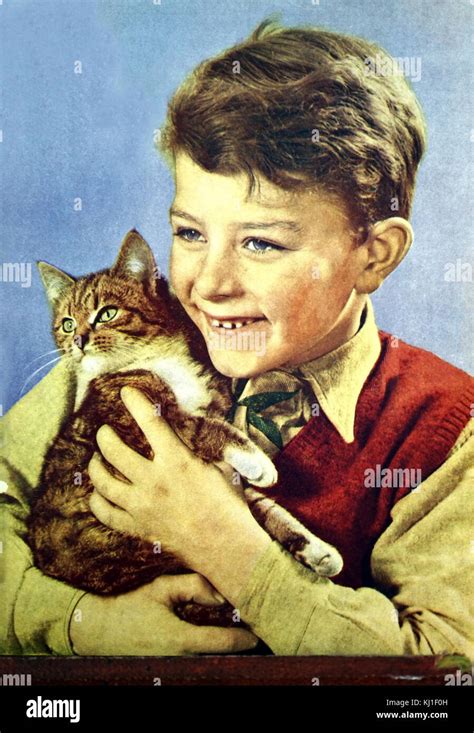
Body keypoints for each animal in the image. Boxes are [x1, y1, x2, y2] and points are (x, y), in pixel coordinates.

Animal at [26, 230, 340, 624]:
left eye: (107, 313)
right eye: (67, 323)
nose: (78, 340)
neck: (157, 360)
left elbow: (259, 506)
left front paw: (314, 548)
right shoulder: (136, 421)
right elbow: (203, 428)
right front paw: (257, 461)